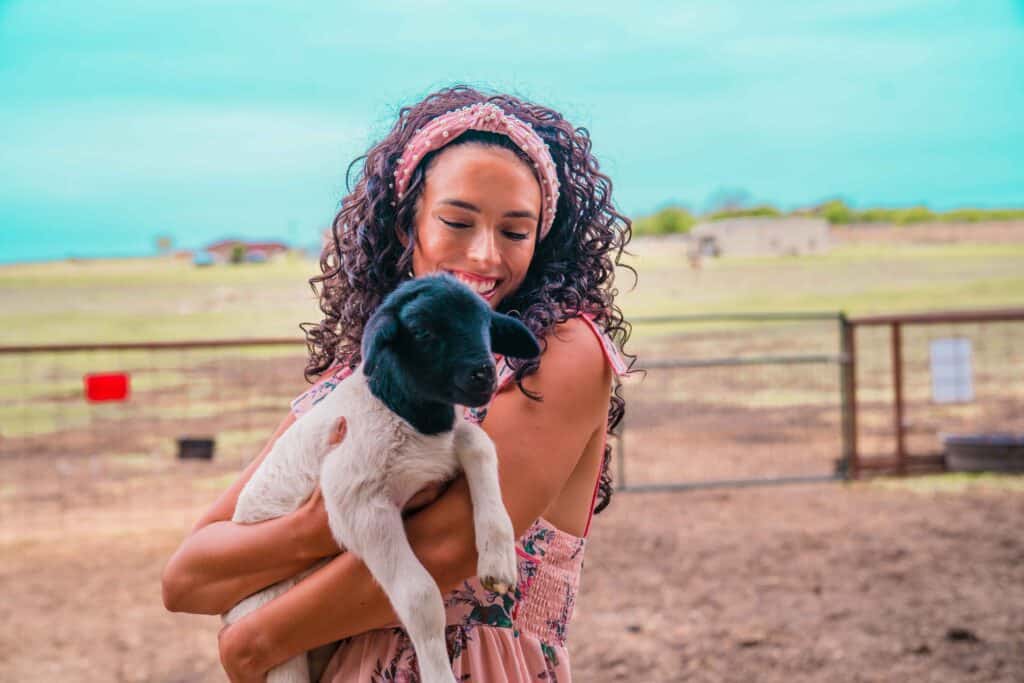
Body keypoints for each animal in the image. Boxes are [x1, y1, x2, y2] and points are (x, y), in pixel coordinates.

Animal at [224, 274, 544, 683]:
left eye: (487, 323)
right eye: (422, 331)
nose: (484, 373)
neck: (408, 417)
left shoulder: (441, 454)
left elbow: (479, 442)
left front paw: (498, 560)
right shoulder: (362, 506)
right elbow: (419, 597)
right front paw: (439, 673)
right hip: (272, 634)